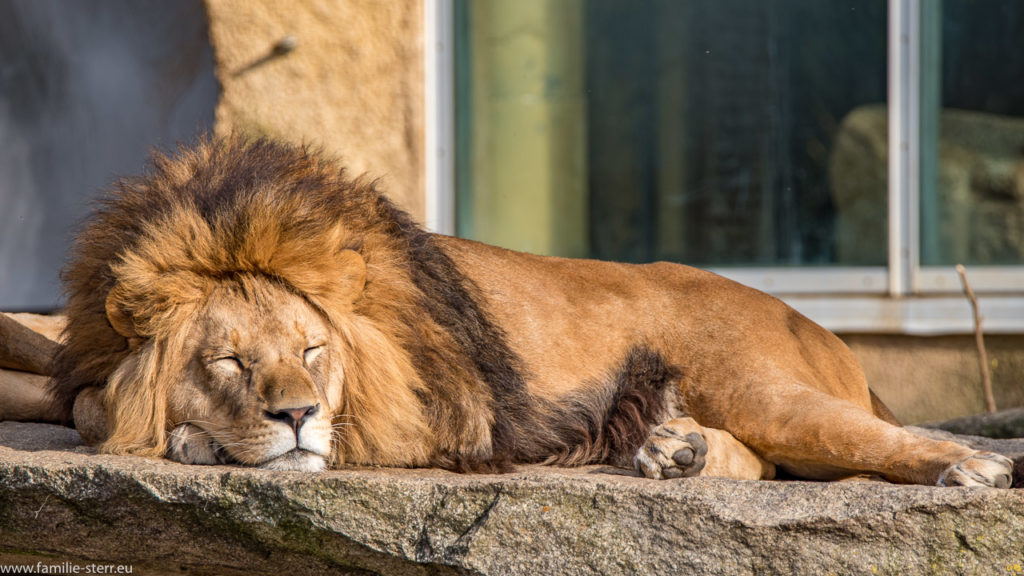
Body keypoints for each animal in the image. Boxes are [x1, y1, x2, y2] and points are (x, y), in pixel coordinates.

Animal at [6, 136, 1015, 485]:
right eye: (229, 361)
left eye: (312, 351)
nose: (295, 414)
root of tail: (816, 325)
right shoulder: (87, 360)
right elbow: (88, 402)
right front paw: (185, 431)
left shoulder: (416, 417)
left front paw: (198, 441)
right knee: (757, 462)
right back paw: (670, 450)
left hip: (763, 386)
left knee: (861, 439)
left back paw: (968, 465)